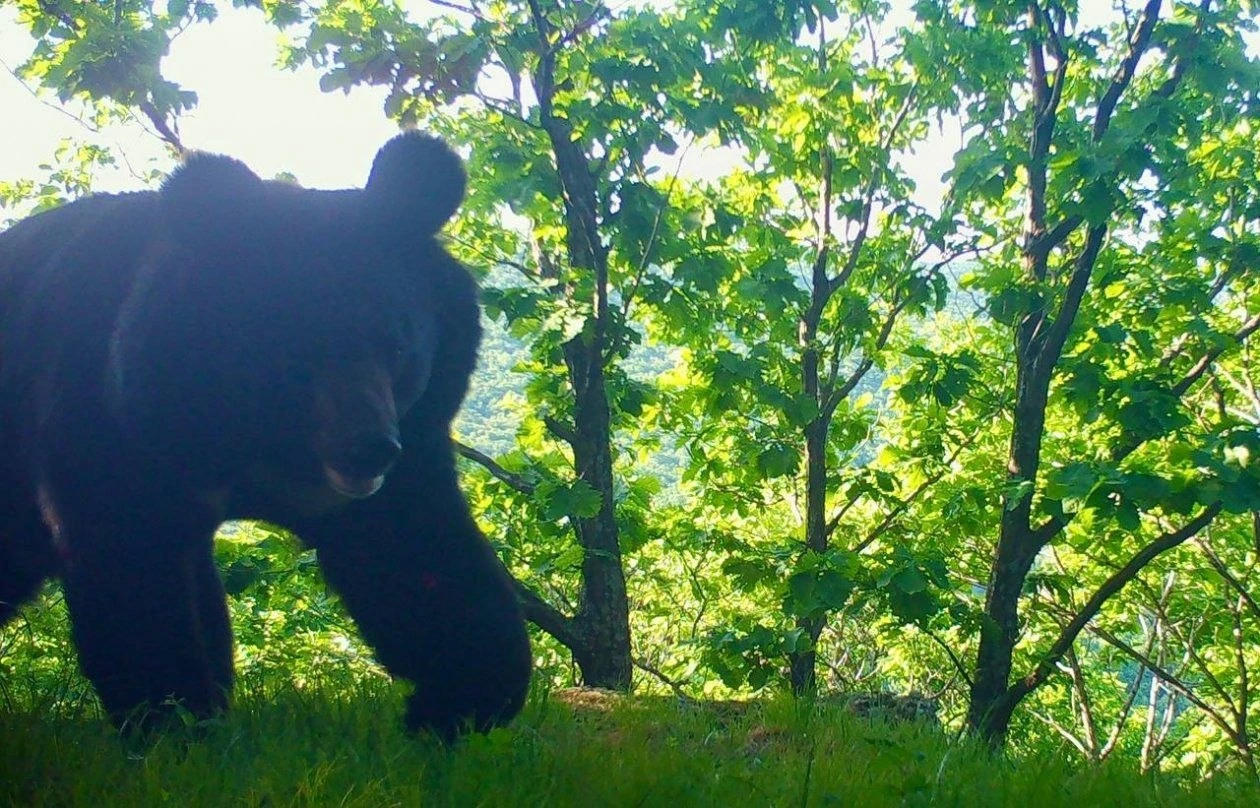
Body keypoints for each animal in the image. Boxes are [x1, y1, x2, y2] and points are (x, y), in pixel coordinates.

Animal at [0, 132, 531, 740]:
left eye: (396, 345)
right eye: (295, 349)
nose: (368, 448)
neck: (256, 439)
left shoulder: (409, 438)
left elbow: (417, 551)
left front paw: (455, 701)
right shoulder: (106, 419)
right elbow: (130, 563)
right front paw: (173, 718)